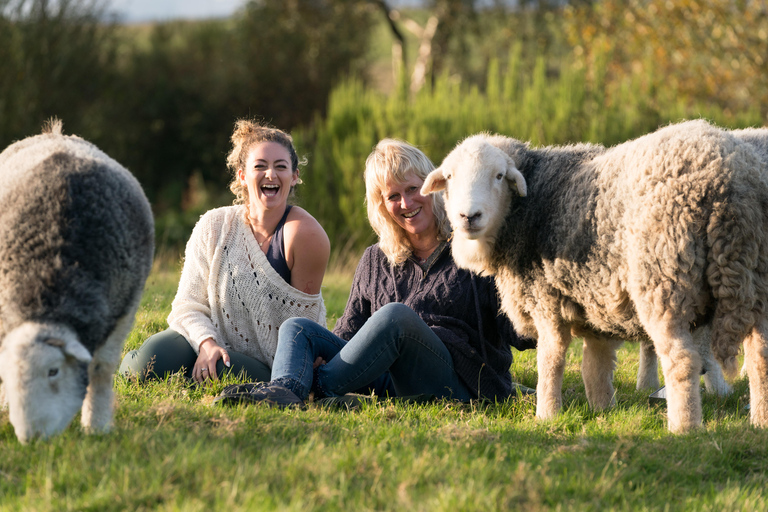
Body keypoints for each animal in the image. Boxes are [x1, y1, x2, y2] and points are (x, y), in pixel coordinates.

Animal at [0, 122, 154, 442]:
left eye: (53, 371)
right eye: (7, 372)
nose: (30, 439)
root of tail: (54, 132)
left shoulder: (123, 311)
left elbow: (101, 369)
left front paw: (96, 425)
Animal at [424, 120, 768, 432]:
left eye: (498, 176)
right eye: (450, 177)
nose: (468, 216)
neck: (526, 211)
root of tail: (730, 181)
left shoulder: (546, 300)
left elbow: (551, 359)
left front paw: (547, 414)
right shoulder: (593, 297)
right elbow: (595, 364)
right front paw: (603, 410)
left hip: (663, 278)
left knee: (682, 359)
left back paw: (684, 427)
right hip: (754, 281)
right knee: (760, 356)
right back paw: (759, 422)